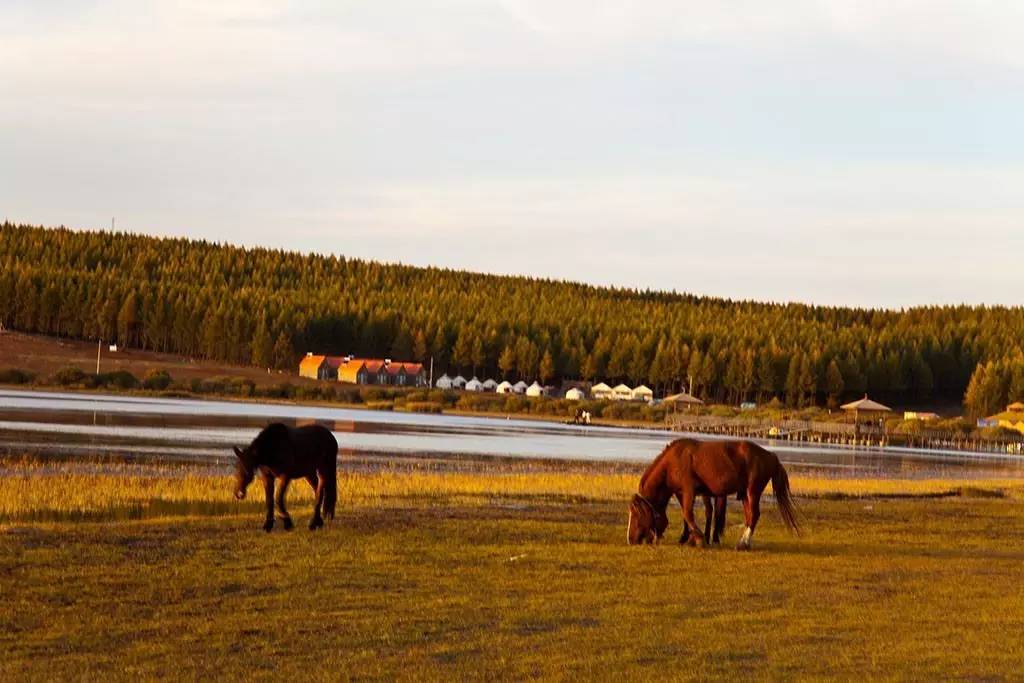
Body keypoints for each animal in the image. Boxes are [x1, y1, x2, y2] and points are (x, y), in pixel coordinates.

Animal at [622, 438, 798, 548]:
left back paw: (743, 544)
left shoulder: (689, 490)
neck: (672, 463)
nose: (629, 539)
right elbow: (686, 515)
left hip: (753, 491)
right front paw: (687, 537)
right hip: (745, 495)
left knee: (754, 515)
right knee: (749, 515)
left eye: (636, 514)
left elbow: (688, 513)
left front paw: (699, 539)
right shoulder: (680, 492)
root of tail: (771, 455)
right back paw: (745, 542)